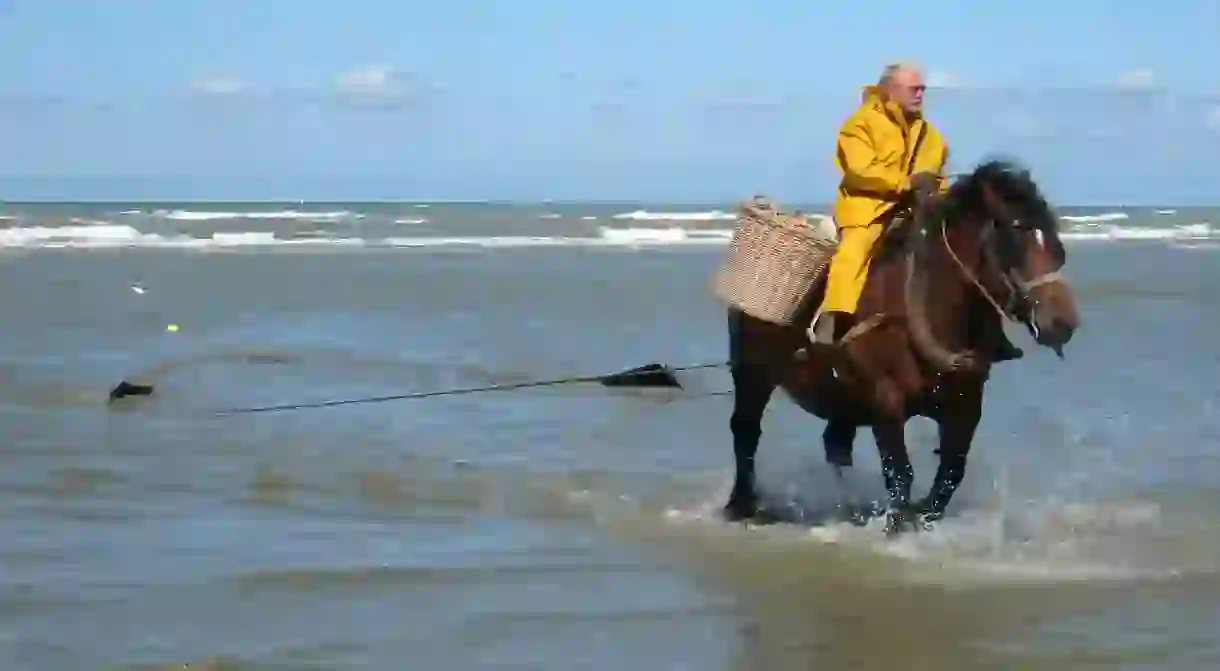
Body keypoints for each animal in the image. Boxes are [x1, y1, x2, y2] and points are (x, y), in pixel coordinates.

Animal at [722, 161, 1078, 534]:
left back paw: (852, 513)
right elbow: (900, 475)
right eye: (1016, 237)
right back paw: (742, 505)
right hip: (751, 373)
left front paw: (920, 515)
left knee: (835, 446)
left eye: (1056, 242)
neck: (923, 308)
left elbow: (950, 473)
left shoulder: (966, 406)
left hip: (841, 399)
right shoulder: (886, 401)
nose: (1063, 322)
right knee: (745, 431)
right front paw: (897, 525)